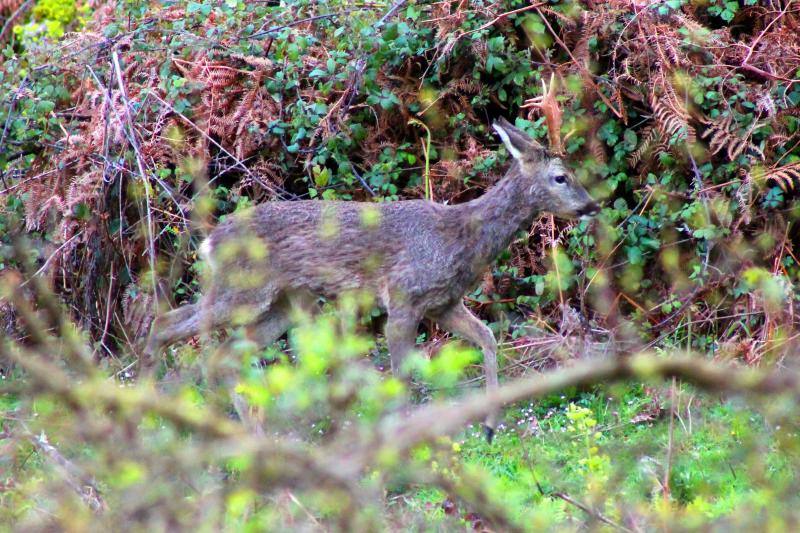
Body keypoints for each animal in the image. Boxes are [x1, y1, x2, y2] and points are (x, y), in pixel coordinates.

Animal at [144, 114, 596, 438]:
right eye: (561, 177)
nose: (592, 205)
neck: (459, 239)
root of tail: (210, 241)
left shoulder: (443, 303)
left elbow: (487, 338)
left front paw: (488, 426)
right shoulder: (402, 299)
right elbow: (401, 377)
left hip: (281, 305)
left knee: (221, 352)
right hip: (243, 292)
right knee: (168, 324)